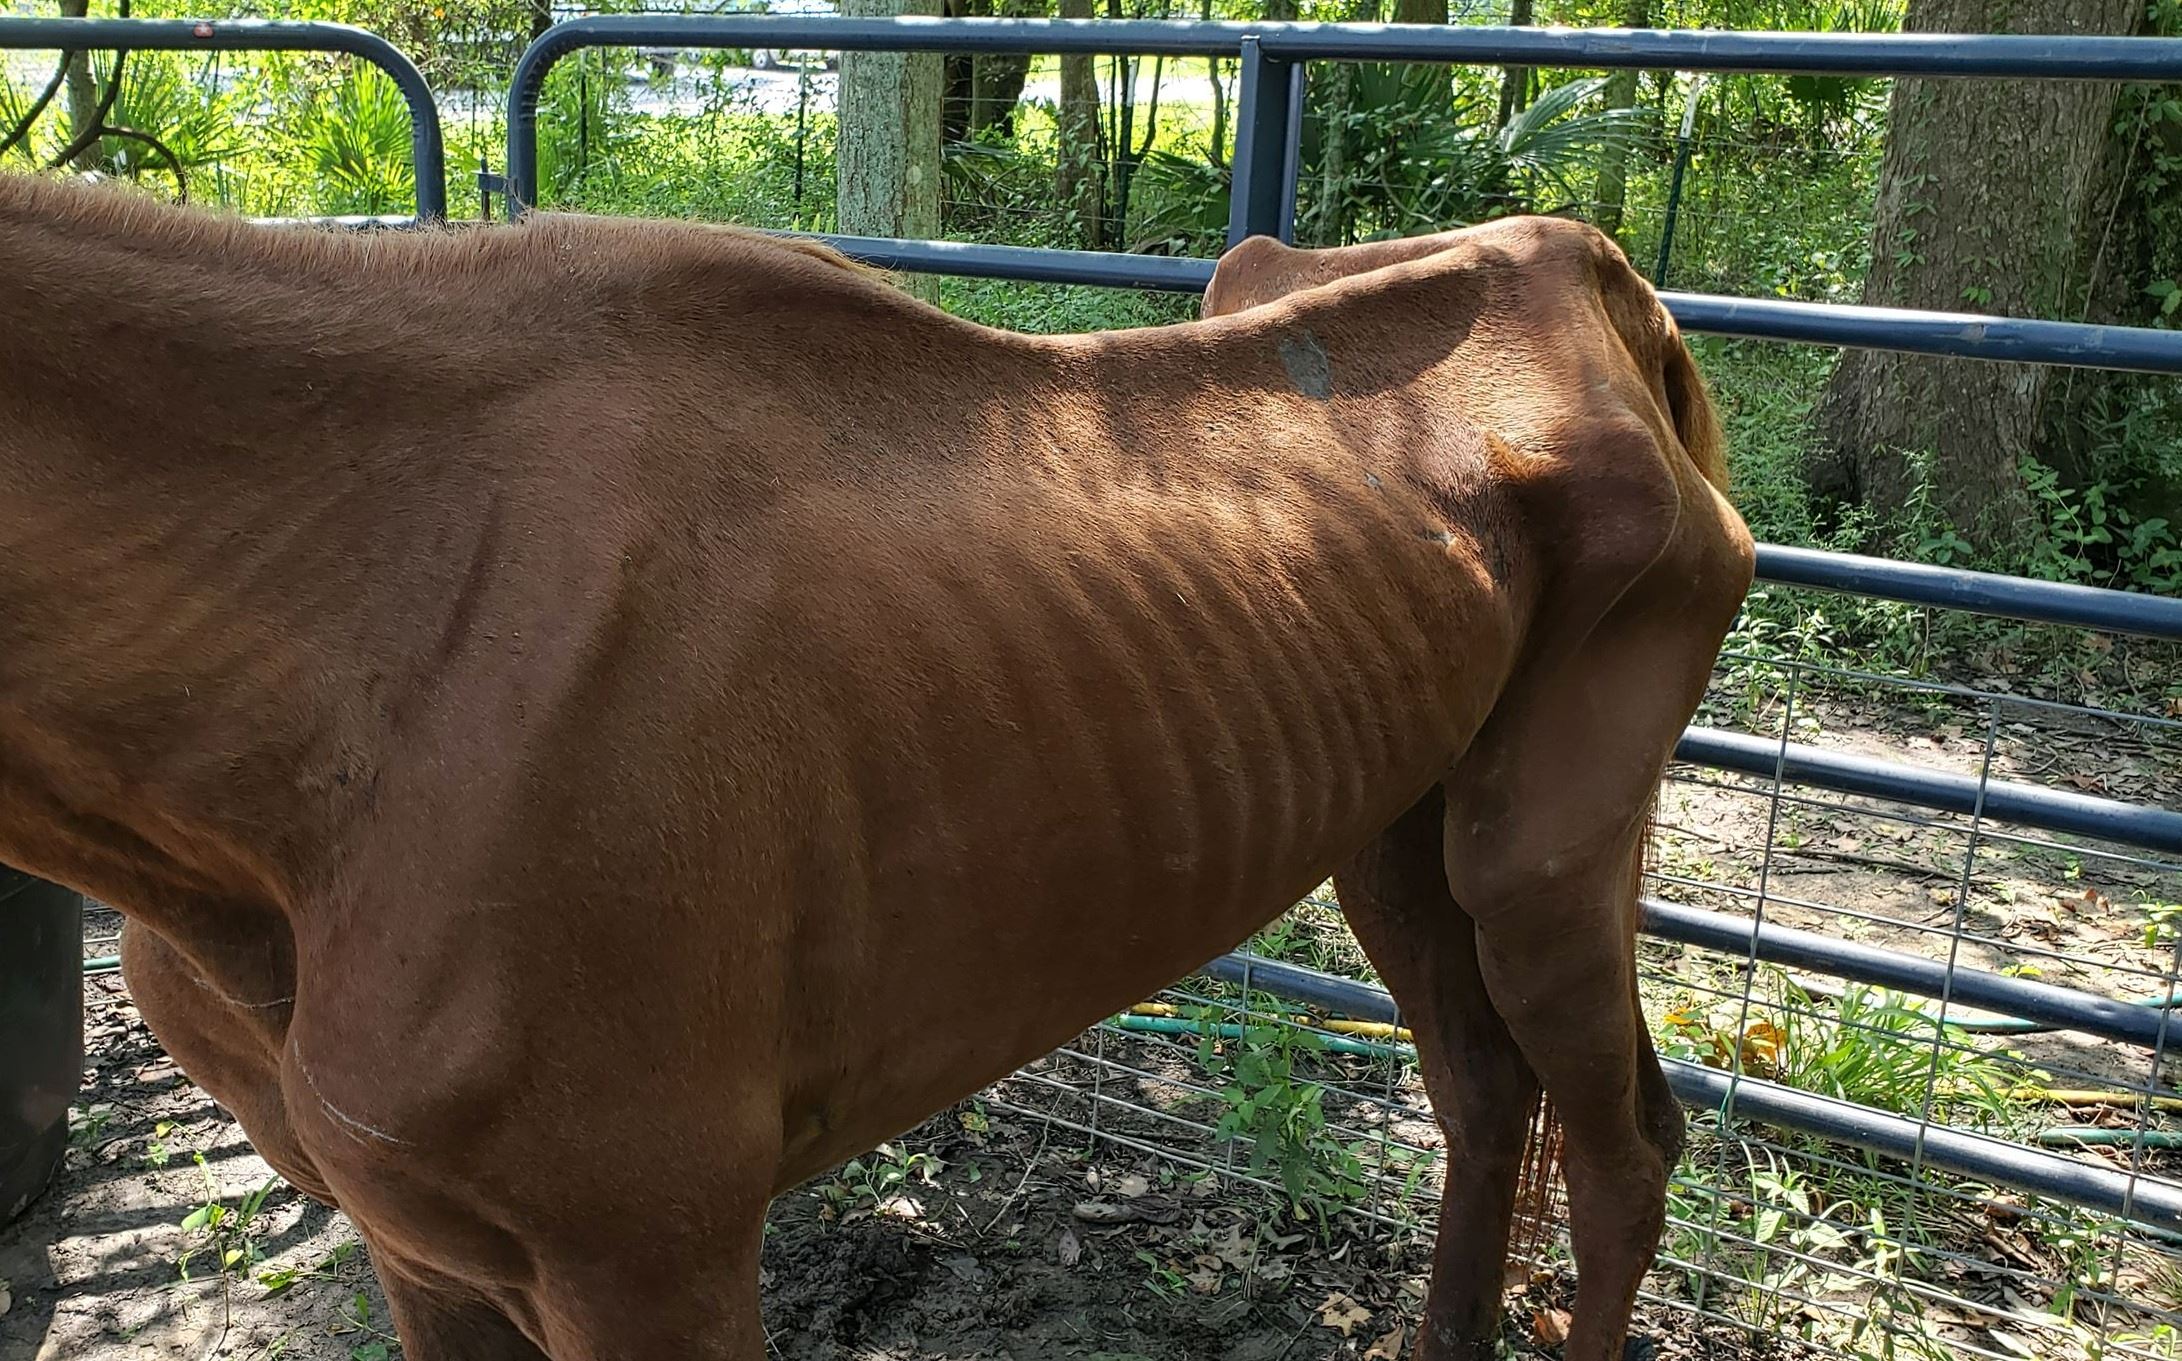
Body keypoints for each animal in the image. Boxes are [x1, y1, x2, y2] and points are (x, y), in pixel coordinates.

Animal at [0, 170, 1754, 1360]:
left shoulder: (649, 1265)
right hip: (1396, 838)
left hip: (1538, 866)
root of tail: (1606, 294)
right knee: (1485, 1100)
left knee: (1619, 1156)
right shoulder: (422, 1258)